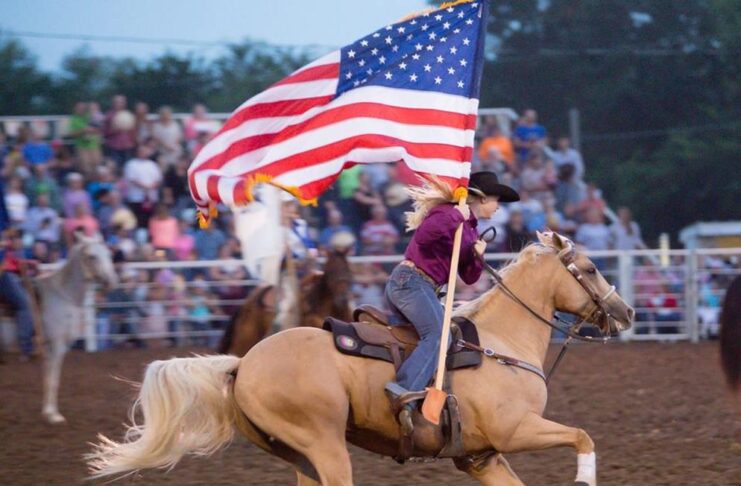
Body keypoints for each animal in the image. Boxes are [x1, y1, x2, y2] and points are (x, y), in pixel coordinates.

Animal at [37, 230, 118, 424]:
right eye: (92, 256)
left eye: (109, 254)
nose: (111, 281)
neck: (62, 296)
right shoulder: (56, 344)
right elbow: (53, 379)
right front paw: (53, 414)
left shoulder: (51, 346)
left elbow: (48, 376)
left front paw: (46, 411)